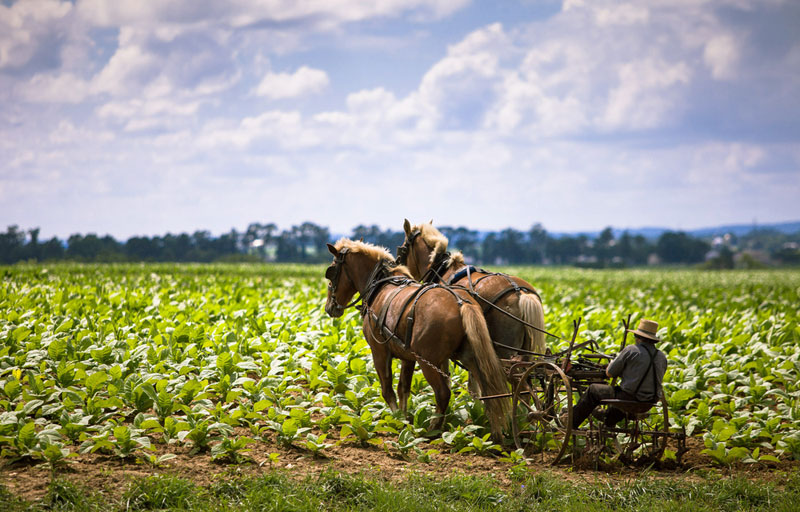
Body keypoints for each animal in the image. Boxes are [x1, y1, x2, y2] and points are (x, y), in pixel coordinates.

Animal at [322, 238, 510, 438]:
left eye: (331, 272)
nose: (329, 307)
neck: (380, 285)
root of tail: (461, 302)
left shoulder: (379, 351)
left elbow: (388, 390)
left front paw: (396, 420)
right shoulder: (407, 356)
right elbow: (403, 388)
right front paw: (404, 420)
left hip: (428, 362)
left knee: (443, 393)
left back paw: (433, 429)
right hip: (470, 358)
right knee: (488, 392)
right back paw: (495, 432)